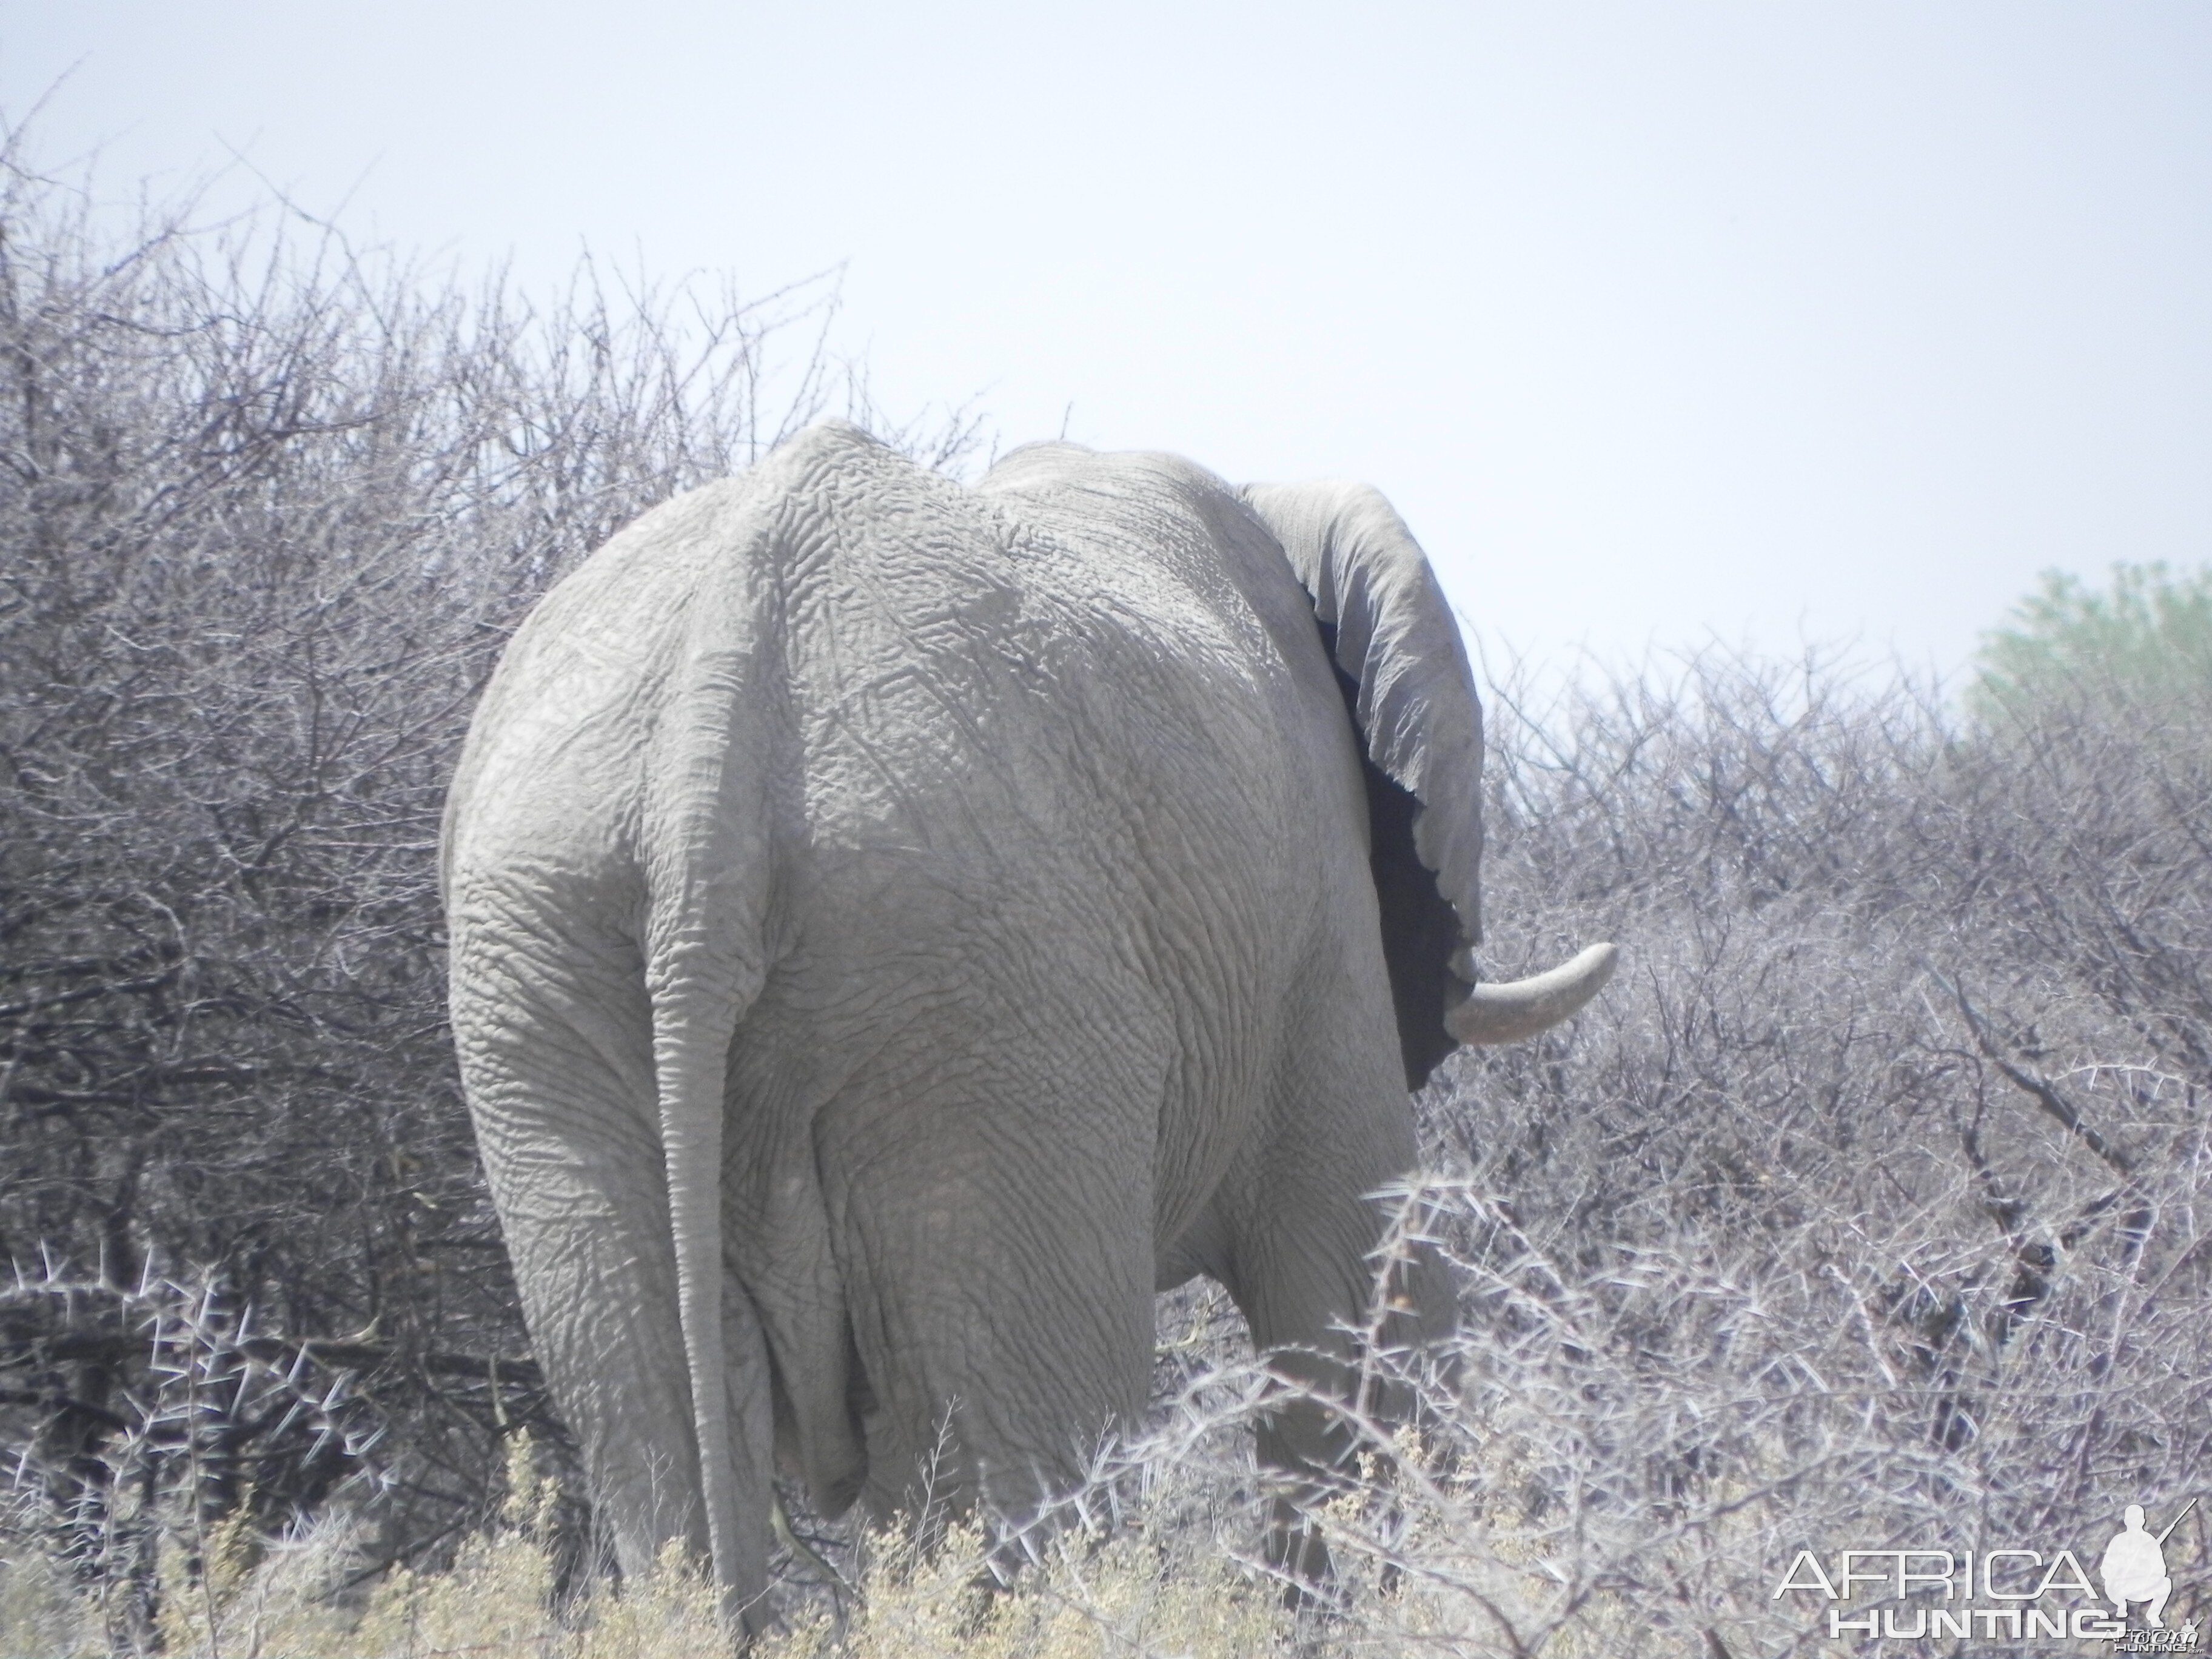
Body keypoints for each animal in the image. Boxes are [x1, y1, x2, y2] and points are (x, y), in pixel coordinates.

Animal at [435, 422, 1610, 1627]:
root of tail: (704, 761)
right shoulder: (1320, 927)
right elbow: (1356, 1311)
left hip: (549, 971)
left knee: (661, 1447)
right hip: (986, 998)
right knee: (1017, 1468)